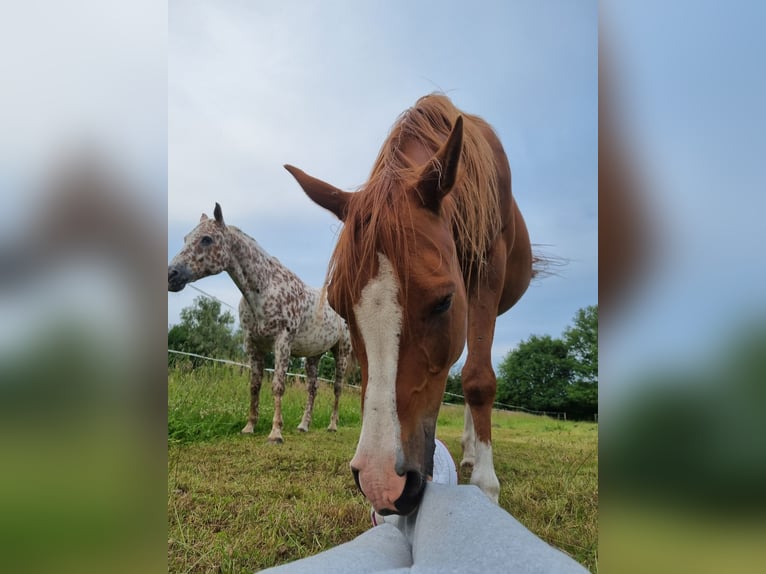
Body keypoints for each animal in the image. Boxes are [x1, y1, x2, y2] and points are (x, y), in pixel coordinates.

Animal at [168, 203, 353, 443]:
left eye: (206, 239)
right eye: (185, 238)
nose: (172, 274)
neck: (265, 289)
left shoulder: (282, 342)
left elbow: (277, 386)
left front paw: (275, 433)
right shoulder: (252, 344)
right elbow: (255, 385)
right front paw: (249, 427)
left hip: (341, 353)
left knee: (337, 388)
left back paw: (332, 425)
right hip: (313, 356)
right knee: (313, 388)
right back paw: (303, 426)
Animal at [285, 94, 534, 515]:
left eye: (443, 302)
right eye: (339, 307)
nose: (381, 482)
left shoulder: (488, 269)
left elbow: (479, 379)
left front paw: (486, 487)